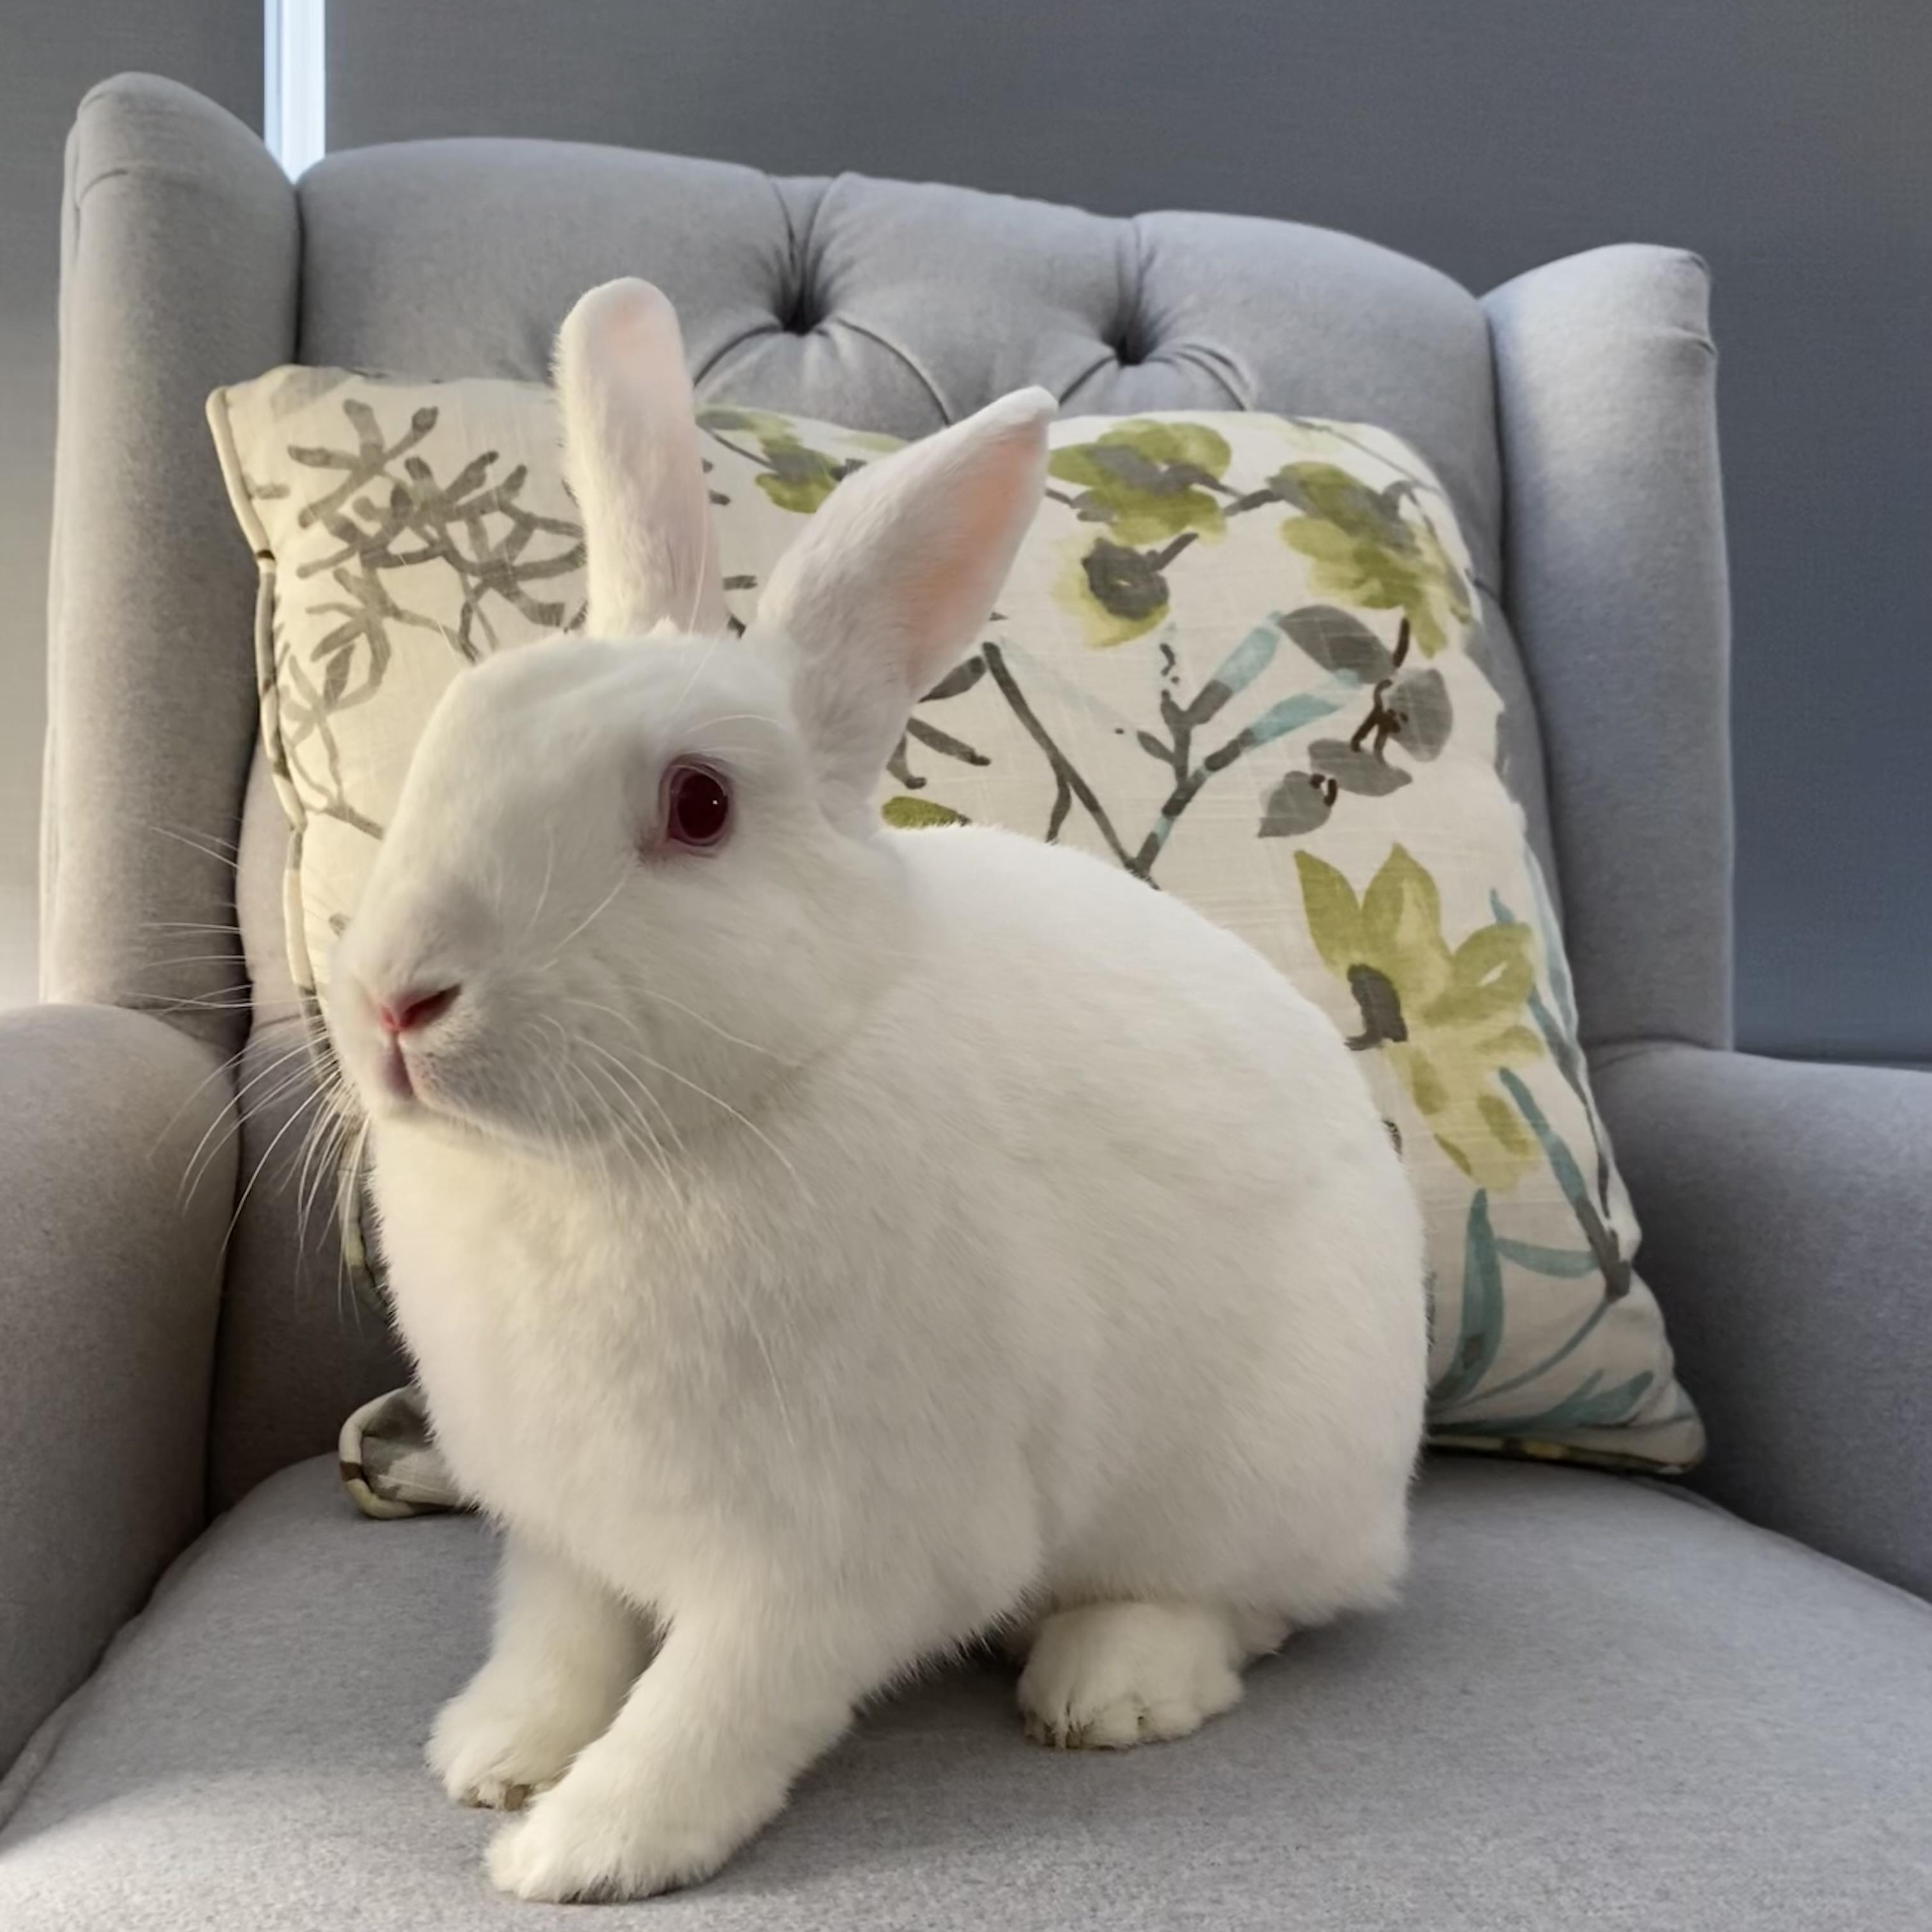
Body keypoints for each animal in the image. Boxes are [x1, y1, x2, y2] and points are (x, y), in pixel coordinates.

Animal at [327, 278, 1429, 1903]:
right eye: (459, 726)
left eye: (699, 806)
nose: (398, 1000)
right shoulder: (568, 1527)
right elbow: (560, 1639)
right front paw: (495, 1753)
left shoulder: (839, 1552)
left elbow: (716, 1701)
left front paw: (583, 1849)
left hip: (1258, 1477)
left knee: (1255, 1606)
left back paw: (1111, 1685)